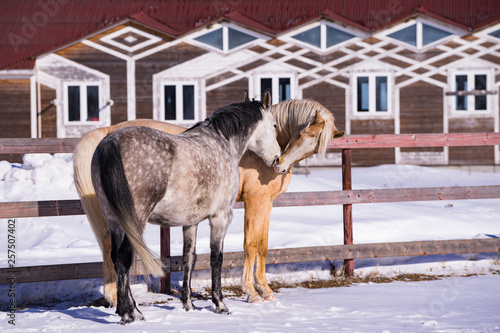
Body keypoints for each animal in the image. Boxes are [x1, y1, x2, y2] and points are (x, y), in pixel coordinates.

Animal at [72, 98, 344, 306]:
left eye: (316, 144)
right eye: (304, 132)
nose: (279, 164)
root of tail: (105, 135)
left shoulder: (267, 204)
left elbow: (263, 246)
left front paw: (265, 290)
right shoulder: (254, 202)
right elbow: (250, 245)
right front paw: (251, 292)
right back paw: (117, 300)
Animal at [92, 90, 282, 322]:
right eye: (274, 125)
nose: (277, 159)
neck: (221, 143)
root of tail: (111, 142)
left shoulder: (190, 222)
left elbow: (188, 259)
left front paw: (188, 304)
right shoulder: (220, 217)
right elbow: (216, 258)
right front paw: (220, 304)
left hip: (114, 220)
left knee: (117, 260)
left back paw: (127, 310)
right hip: (134, 220)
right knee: (125, 258)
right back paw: (130, 313)